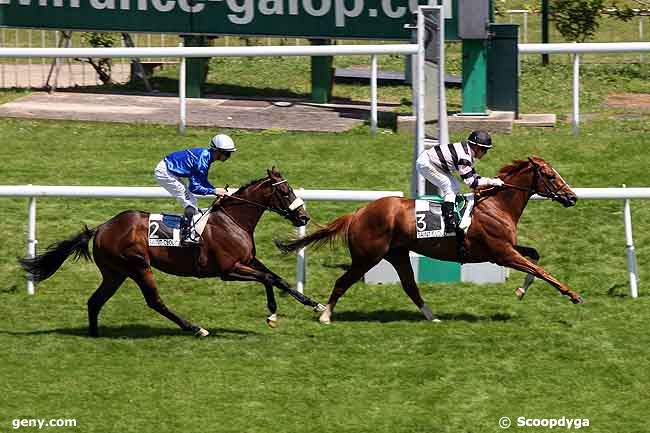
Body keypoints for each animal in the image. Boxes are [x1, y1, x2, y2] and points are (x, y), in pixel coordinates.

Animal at [20, 167, 324, 336]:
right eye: (284, 191)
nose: (304, 217)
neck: (232, 220)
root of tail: (102, 227)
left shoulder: (248, 260)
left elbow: (278, 279)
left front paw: (316, 305)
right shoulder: (229, 270)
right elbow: (268, 279)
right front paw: (272, 314)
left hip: (115, 273)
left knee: (95, 301)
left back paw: (94, 334)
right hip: (138, 266)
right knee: (155, 301)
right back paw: (196, 328)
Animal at [276, 156, 580, 324]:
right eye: (550, 175)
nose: (572, 197)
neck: (497, 204)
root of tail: (358, 213)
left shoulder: (506, 249)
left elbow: (536, 257)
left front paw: (520, 291)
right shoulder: (502, 254)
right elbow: (540, 269)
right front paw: (573, 295)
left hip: (397, 254)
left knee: (410, 286)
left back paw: (432, 316)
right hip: (367, 257)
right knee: (342, 282)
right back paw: (325, 315)